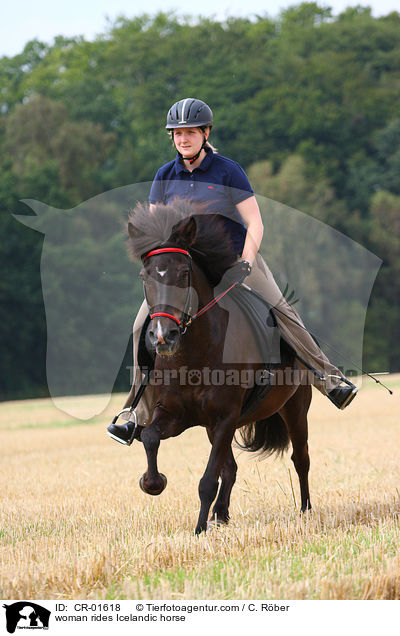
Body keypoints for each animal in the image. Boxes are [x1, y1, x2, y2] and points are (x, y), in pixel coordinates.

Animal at [128, 201, 312, 536]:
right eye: (144, 276)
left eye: (184, 273)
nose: (162, 336)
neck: (194, 356)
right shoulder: (175, 414)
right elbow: (149, 437)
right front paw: (153, 483)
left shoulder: (225, 417)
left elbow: (207, 480)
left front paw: (199, 529)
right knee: (232, 468)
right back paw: (221, 514)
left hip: (294, 407)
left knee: (300, 458)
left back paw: (305, 510)